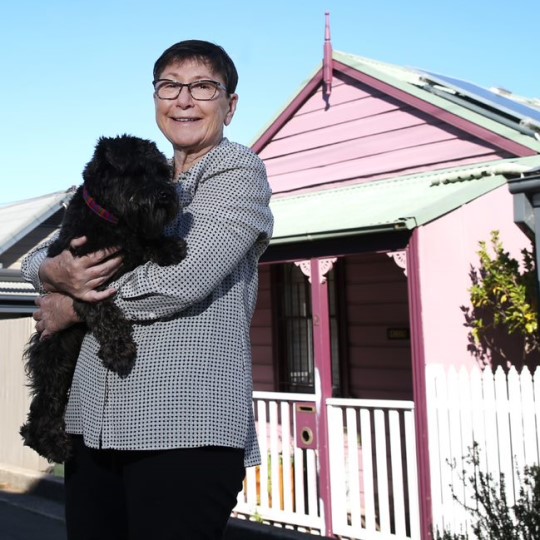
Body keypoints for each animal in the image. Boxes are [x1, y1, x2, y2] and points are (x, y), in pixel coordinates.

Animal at [19, 135, 186, 464]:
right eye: (137, 172)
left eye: (162, 172)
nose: (165, 194)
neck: (109, 218)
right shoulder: (83, 283)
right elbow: (105, 312)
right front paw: (120, 350)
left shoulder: (131, 245)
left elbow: (144, 242)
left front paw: (168, 246)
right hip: (56, 359)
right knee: (42, 408)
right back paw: (53, 445)